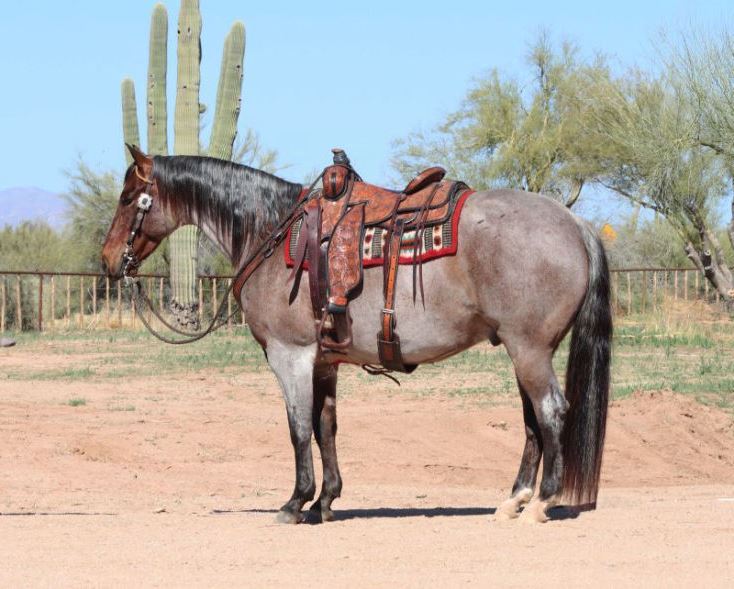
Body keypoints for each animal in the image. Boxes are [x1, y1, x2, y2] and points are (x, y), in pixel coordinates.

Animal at [102, 145, 612, 524]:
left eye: (129, 198)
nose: (108, 260)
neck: (270, 233)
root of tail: (574, 223)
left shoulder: (290, 356)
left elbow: (297, 428)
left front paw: (295, 502)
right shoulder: (324, 361)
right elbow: (325, 427)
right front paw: (325, 501)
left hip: (530, 349)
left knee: (551, 412)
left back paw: (542, 502)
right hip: (524, 350)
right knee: (532, 422)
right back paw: (514, 500)